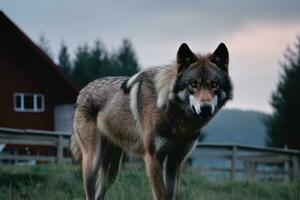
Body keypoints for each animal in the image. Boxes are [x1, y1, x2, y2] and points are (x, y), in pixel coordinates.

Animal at [71, 43, 233, 199]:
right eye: (193, 84)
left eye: (214, 84)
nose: (206, 108)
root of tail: (83, 90)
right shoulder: (154, 158)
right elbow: (161, 195)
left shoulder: (175, 161)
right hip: (92, 163)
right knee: (89, 195)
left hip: (113, 169)